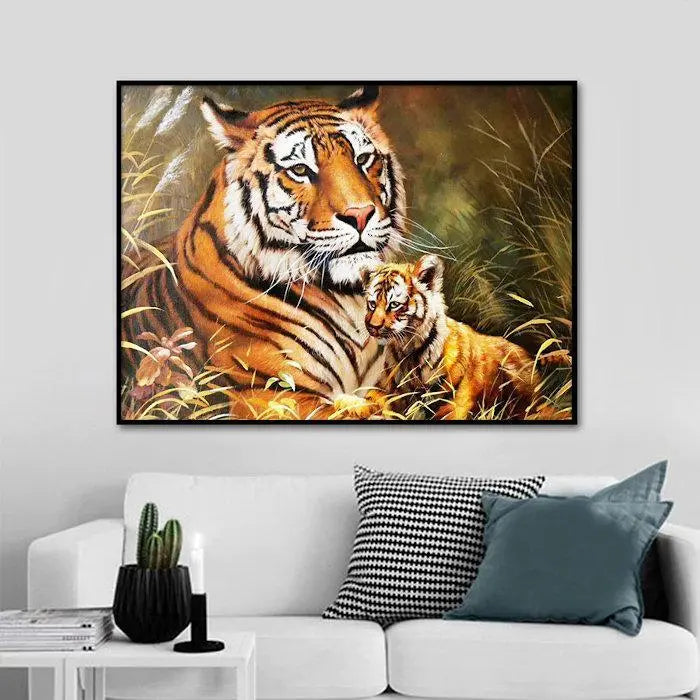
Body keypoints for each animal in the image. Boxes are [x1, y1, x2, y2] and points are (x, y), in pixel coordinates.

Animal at [340, 254, 558, 420]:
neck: (409, 350)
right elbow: (371, 399)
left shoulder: (452, 405)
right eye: (372, 304)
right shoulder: (385, 391)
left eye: (394, 305)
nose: (372, 327)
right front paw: (347, 402)